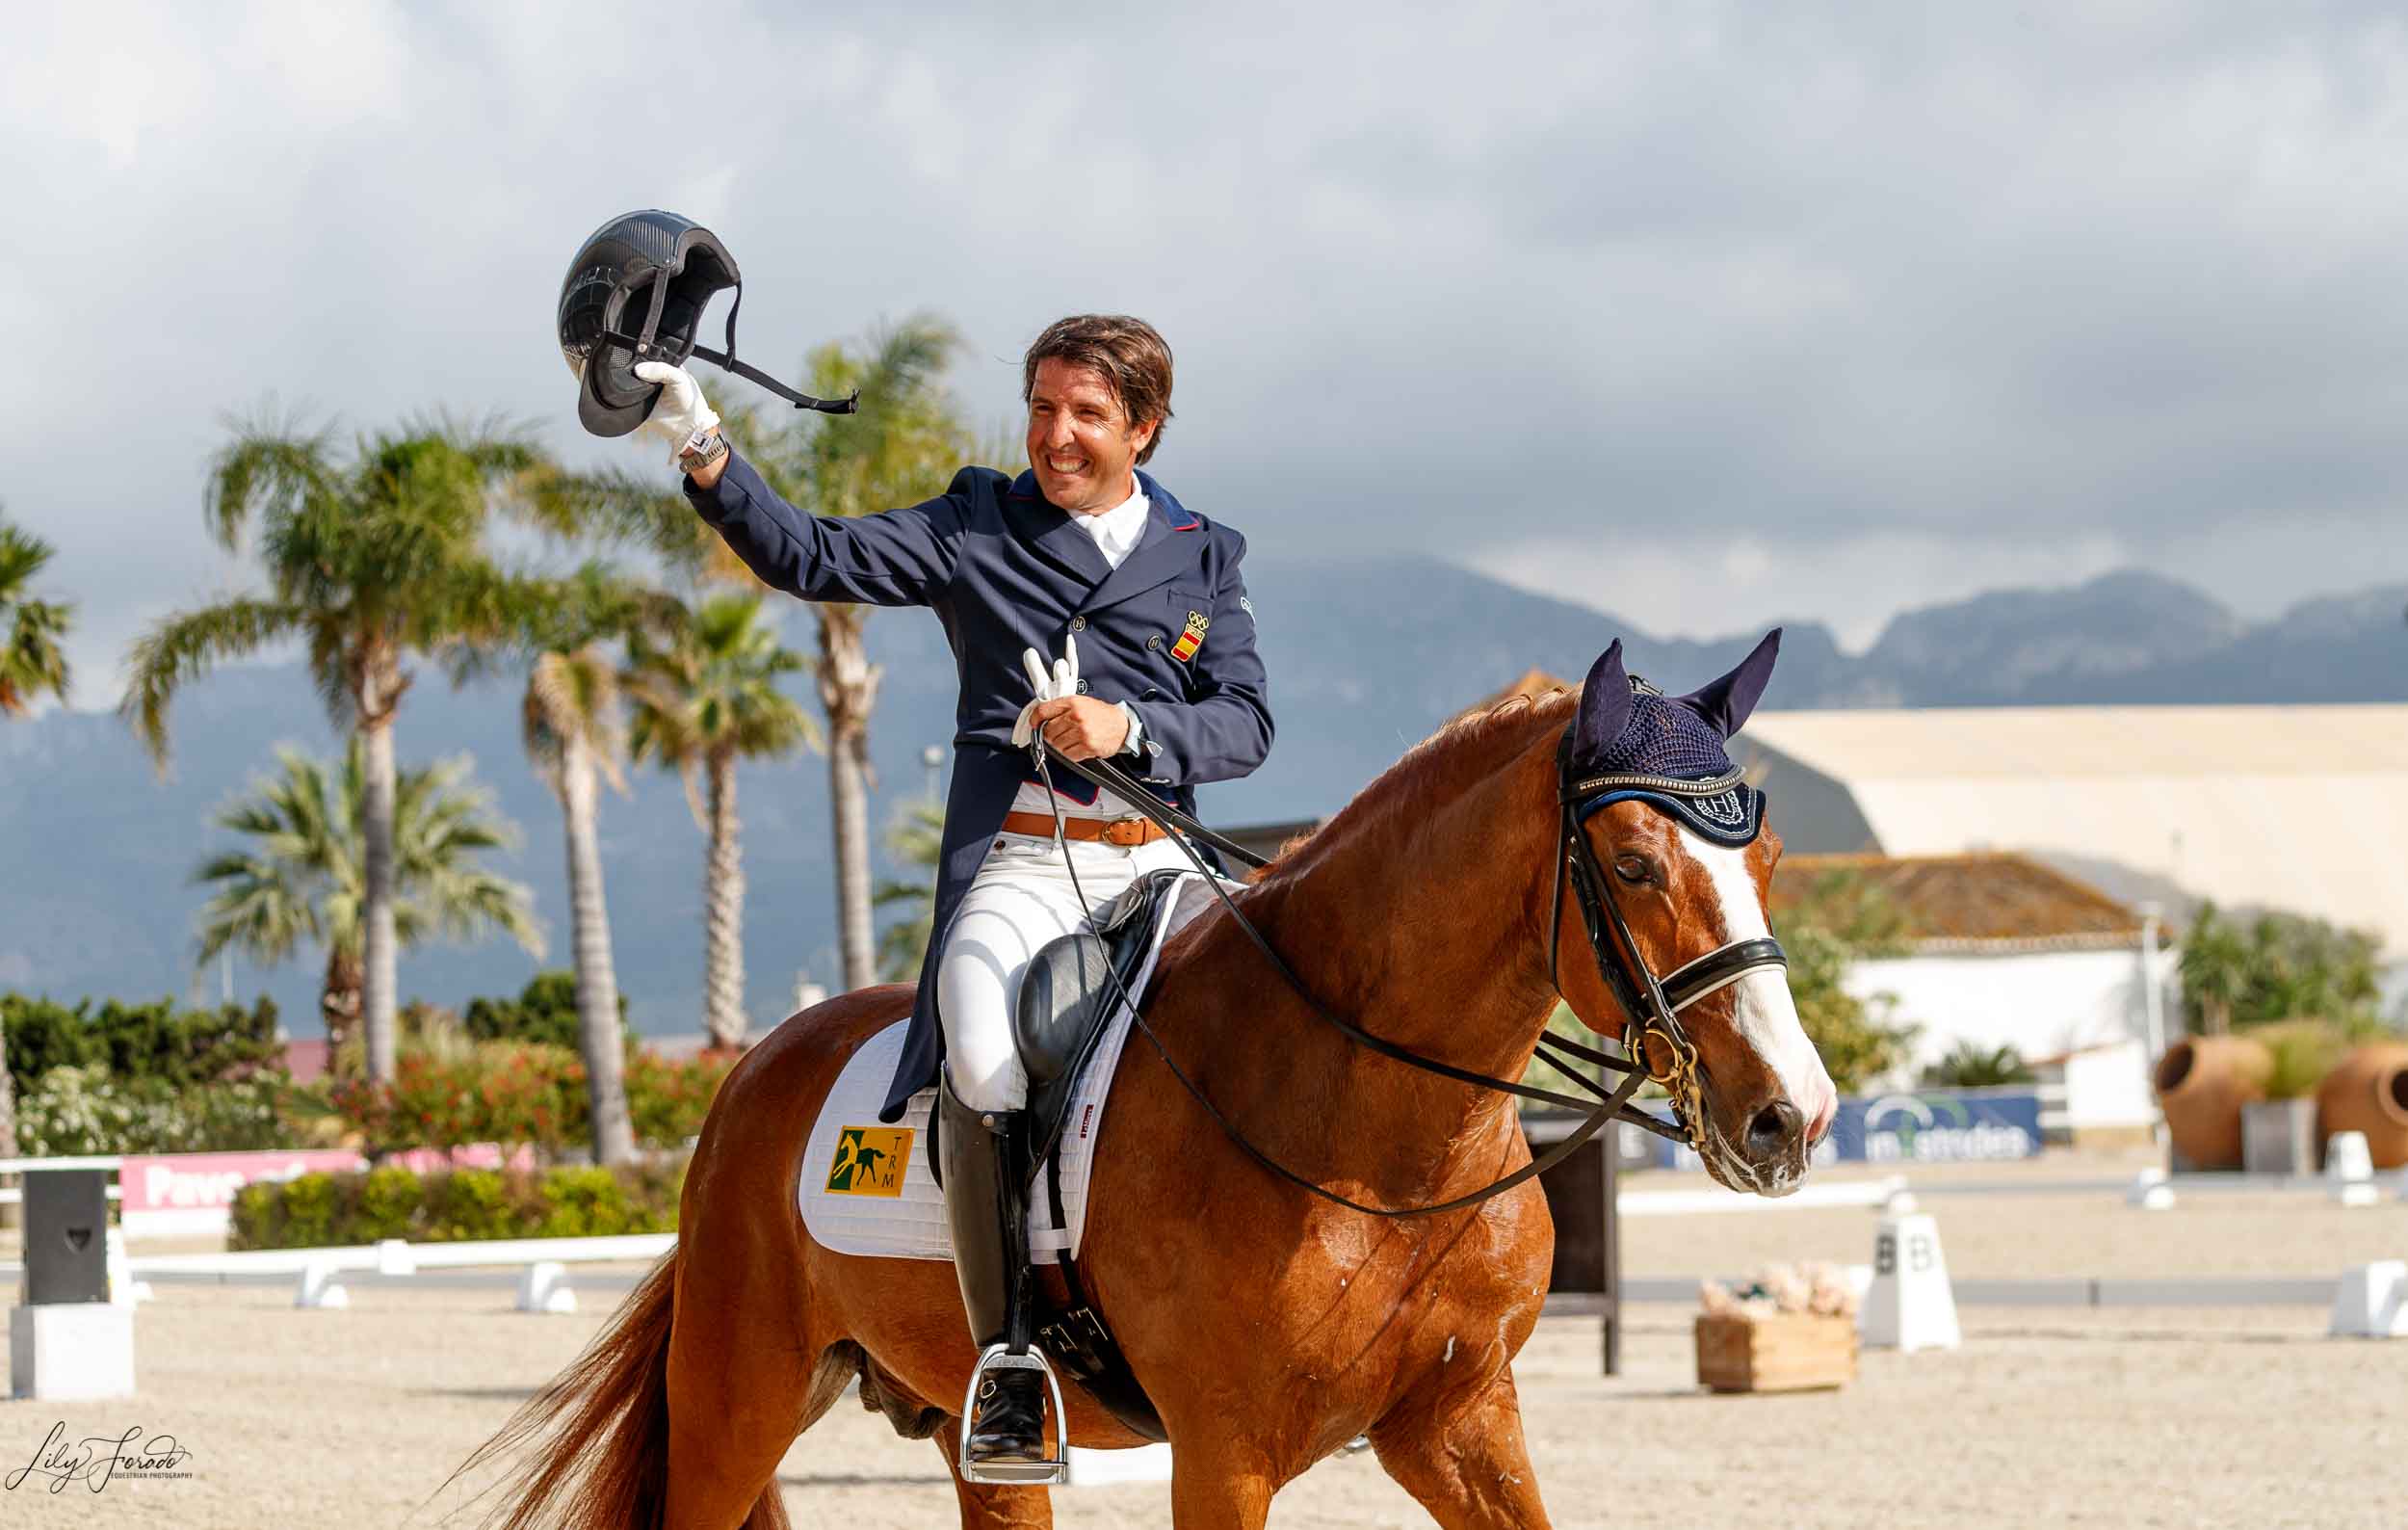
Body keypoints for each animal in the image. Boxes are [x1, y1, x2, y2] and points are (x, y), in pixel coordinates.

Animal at [459, 670, 1830, 1530]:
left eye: (1764, 855)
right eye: (1635, 863)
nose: (1792, 1116)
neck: (1383, 1136)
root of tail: (752, 1067)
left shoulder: (1458, 1420)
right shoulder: (1226, 1454)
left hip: (968, 1428)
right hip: (736, 1398)